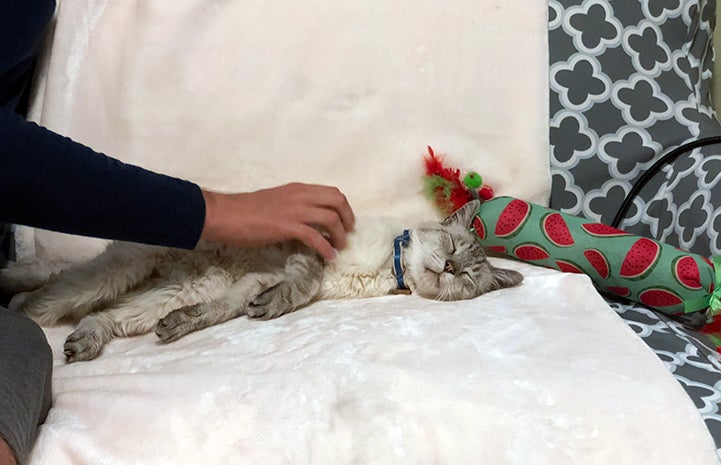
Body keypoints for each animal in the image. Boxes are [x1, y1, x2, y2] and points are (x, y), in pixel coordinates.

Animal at [0, 198, 520, 360]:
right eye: (451, 248)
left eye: (467, 276)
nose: (449, 268)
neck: (386, 267)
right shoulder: (312, 244)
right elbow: (304, 281)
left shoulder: (249, 283)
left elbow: (230, 308)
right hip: (118, 272)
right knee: (45, 297)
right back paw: (20, 306)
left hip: (169, 291)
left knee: (104, 314)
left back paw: (87, 342)